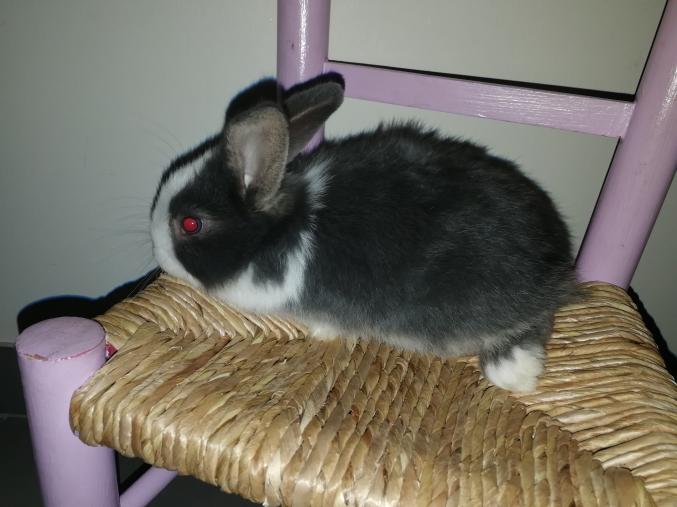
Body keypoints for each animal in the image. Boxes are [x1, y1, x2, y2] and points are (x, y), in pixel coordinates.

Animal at [150, 73, 578, 393]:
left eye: (190, 224)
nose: (156, 248)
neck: (278, 232)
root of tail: (559, 264)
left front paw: (321, 331)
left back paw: (516, 373)